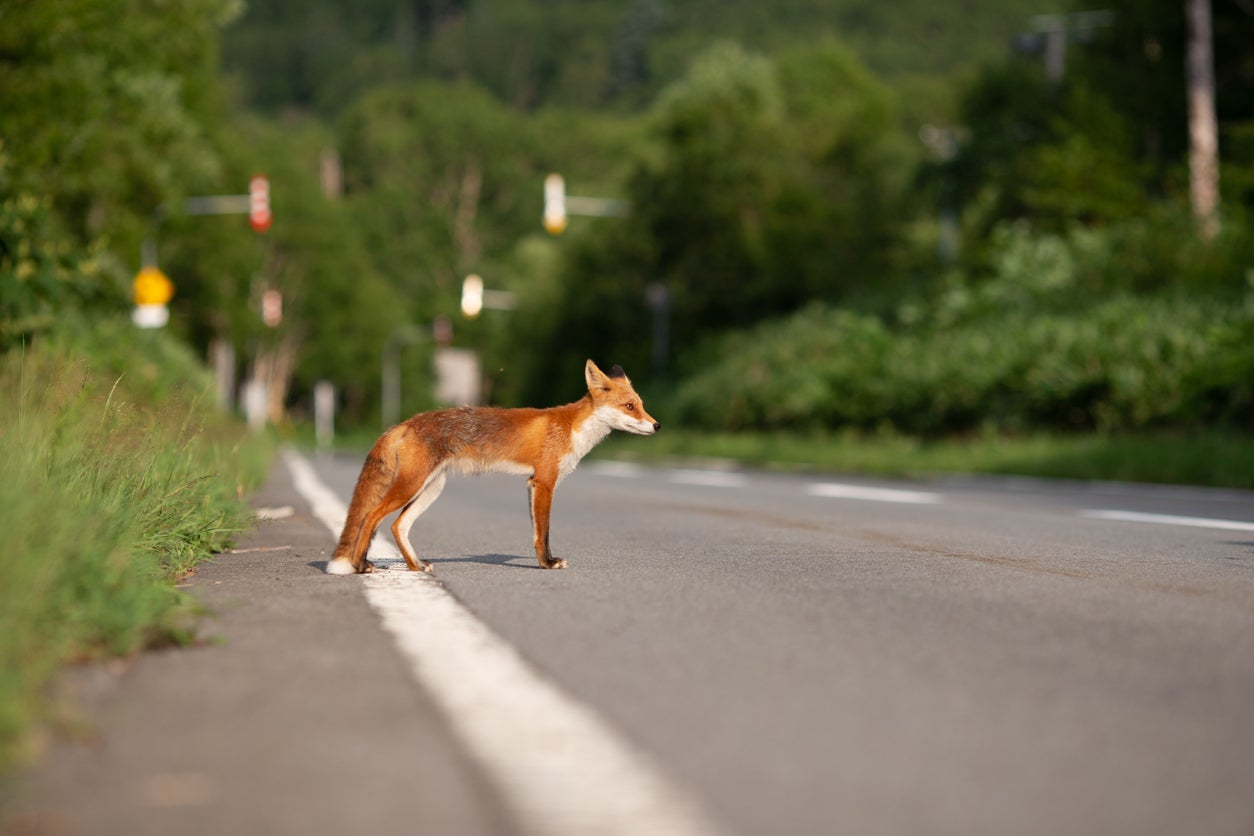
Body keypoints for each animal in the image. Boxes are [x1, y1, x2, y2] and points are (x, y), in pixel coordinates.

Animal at [326, 359, 659, 575]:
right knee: (371, 516)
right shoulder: (545, 481)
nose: (657, 425)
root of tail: (403, 424)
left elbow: (536, 533)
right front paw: (548, 564)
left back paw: (415, 566)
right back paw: (359, 566)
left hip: (431, 488)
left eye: (641, 405)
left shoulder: (531, 482)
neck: (572, 429)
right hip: (411, 485)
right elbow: (544, 532)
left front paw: (543, 561)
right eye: (630, 407)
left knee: (397, 525)